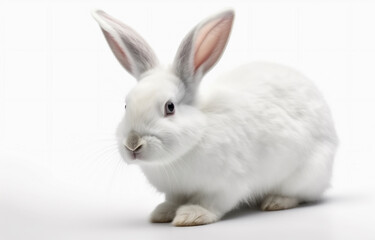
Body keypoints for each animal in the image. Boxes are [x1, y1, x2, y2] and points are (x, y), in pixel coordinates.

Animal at [92, 9, 340, 227]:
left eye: (170, 107)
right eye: (126, 105)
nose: (133, 143)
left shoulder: (226, 186)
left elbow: (211, 203)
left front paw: (191, 216)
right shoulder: (174, 191)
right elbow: (172, 202)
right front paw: (162, 213)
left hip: (305, 174)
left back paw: (276, 201)